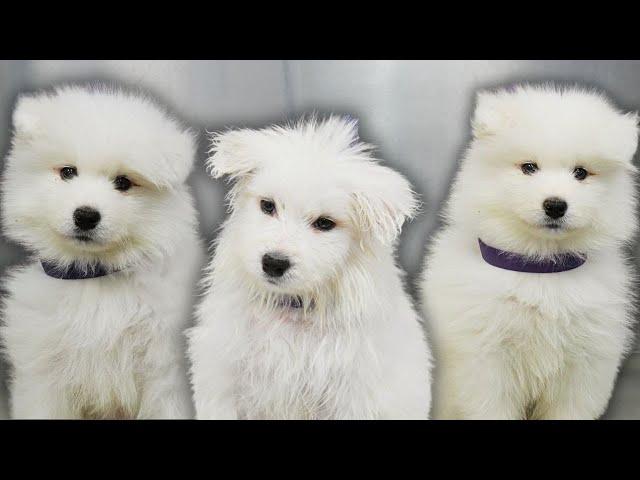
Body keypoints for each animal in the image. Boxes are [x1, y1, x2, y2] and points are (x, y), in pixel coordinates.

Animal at [0, 87, 204, 420]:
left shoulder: (164, 371)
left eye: (123, 182)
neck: (95, 276)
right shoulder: (43, 368)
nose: (85, 216)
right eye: (67, 172)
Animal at [188, 117, 432, 420]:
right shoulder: (223, 380)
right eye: (267, 206)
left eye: (325, 223)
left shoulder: (352, 397)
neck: (292, 308)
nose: (273, 262)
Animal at [422, 86, 636, 420]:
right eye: (528, 168)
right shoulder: (487, 362)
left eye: (581, 173)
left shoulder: (584, 364)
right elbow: (490, 407)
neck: (540, 267)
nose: (555, 205)